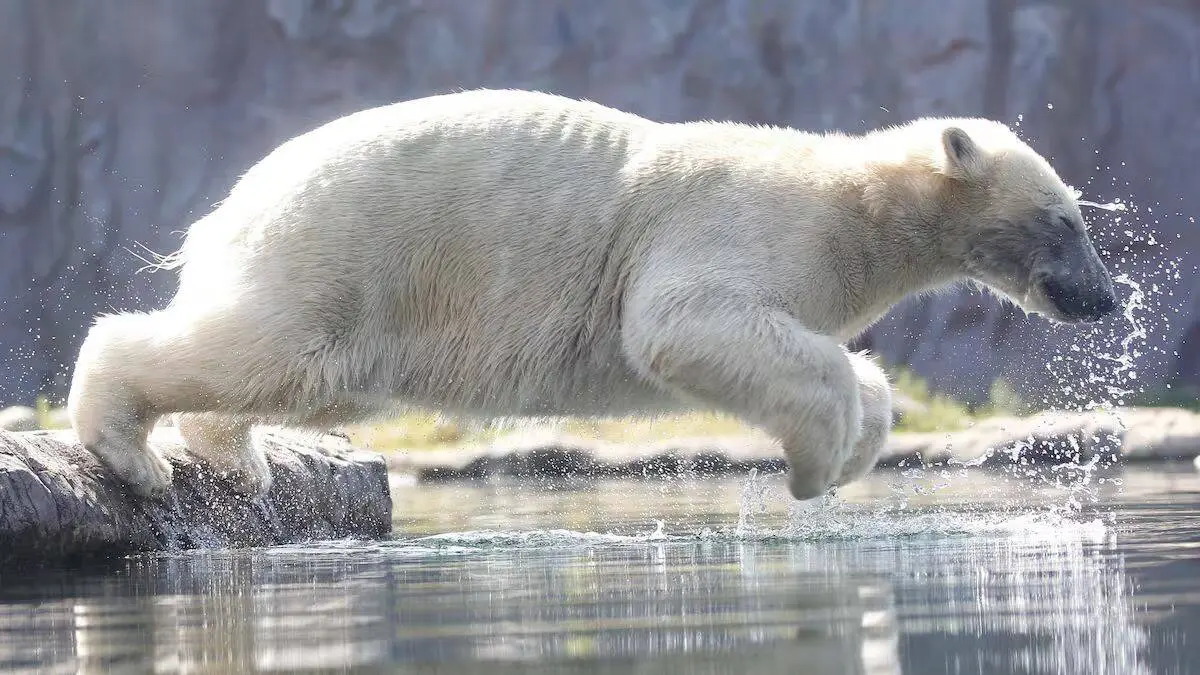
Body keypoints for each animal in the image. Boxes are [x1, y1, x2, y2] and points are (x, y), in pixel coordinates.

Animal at [65, 88, 1117, 501]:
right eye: (1066, 218)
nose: (1104, 301)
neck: (849, 198)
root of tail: (232, 204)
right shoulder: (738, 223)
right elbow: (683, 320)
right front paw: (816, 466)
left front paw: (857, 441)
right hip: (344, 248)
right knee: (260, 344)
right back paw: (134, 453)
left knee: (298, 377)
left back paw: (237, 458)